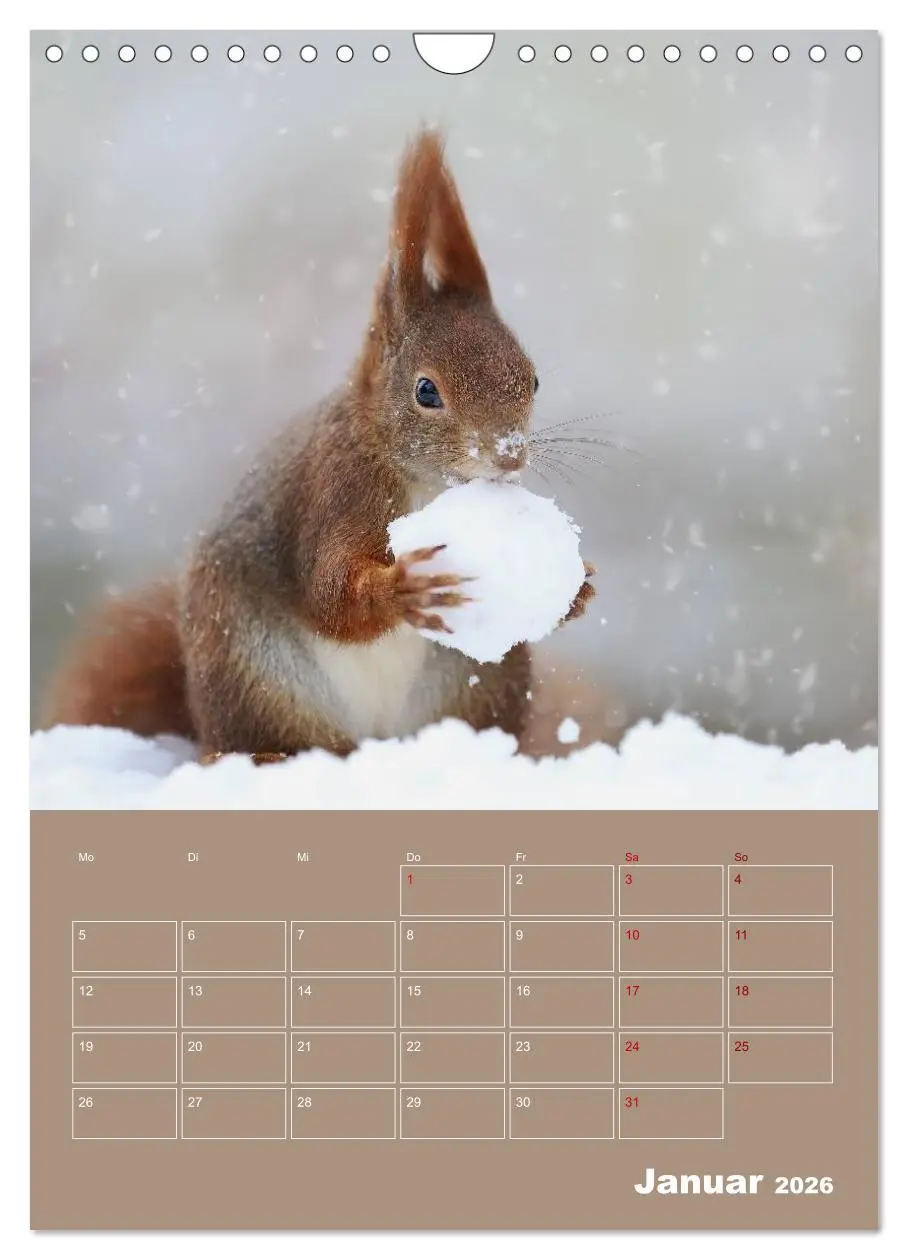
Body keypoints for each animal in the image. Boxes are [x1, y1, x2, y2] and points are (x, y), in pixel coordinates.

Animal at [43, 129, 595, 763]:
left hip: (478, 683)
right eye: (426, 391)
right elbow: (331, 595)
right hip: (254, 672)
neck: (415, 475)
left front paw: (577, 592)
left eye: (533, 379)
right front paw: (401, 587)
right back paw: (264, 755)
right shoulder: (334, 495)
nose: (509, 454)